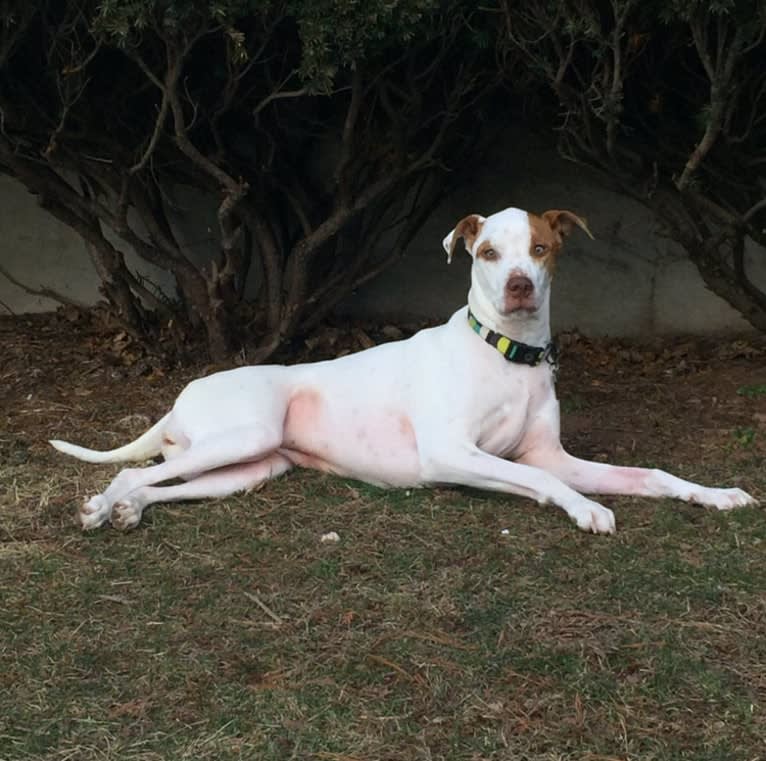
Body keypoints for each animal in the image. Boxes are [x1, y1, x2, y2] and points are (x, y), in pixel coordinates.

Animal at [51, 205, 760, 532]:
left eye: (540, 249)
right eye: (487, 252)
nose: (520, 286)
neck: (506, 354)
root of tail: (181, 395)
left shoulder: (550, 455)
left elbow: (652, 475)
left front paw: (715, 494)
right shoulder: (452, 453)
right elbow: (545, 483)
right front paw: (586, 508)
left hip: (251, 468)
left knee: (159, 480)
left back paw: (131, 509)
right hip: (246, 434)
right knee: (133, 471)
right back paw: (101, 507)